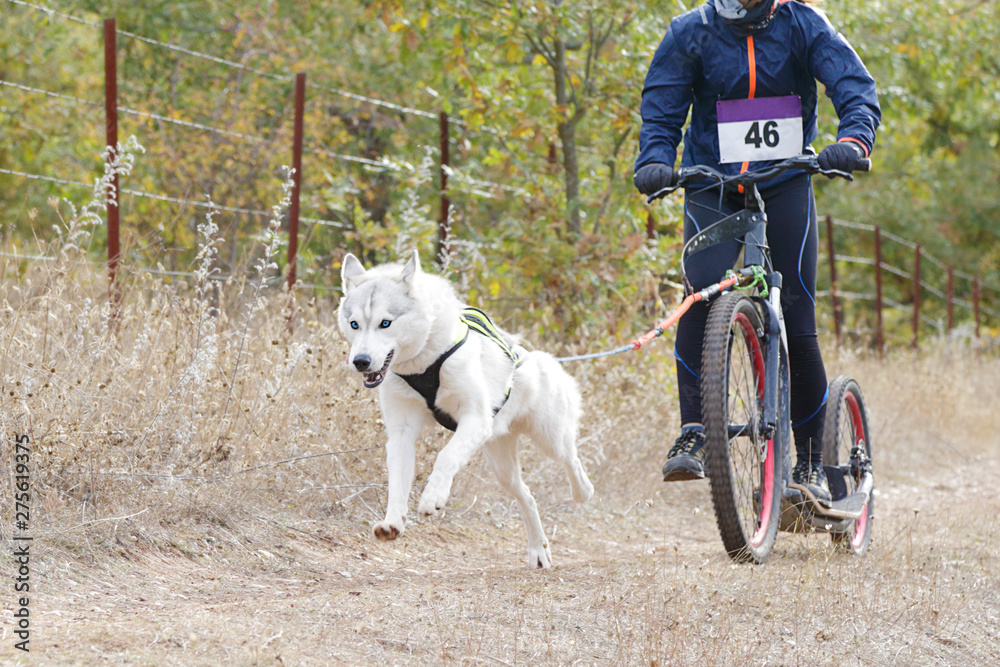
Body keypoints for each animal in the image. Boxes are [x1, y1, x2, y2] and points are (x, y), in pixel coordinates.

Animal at [340, 250, 592, 568]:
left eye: (385, 323)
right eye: (354, 324)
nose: (360, 361)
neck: (424, 362)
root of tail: (537, 357)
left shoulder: (475, 419)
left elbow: (445, 457)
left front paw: (432, 498)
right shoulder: (401, 434)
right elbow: (397, 482)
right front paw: (392, 522)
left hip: (550, 439)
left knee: (571, 459)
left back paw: (582, 491)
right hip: (503, 468)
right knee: (527, 496)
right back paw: (538, 550)